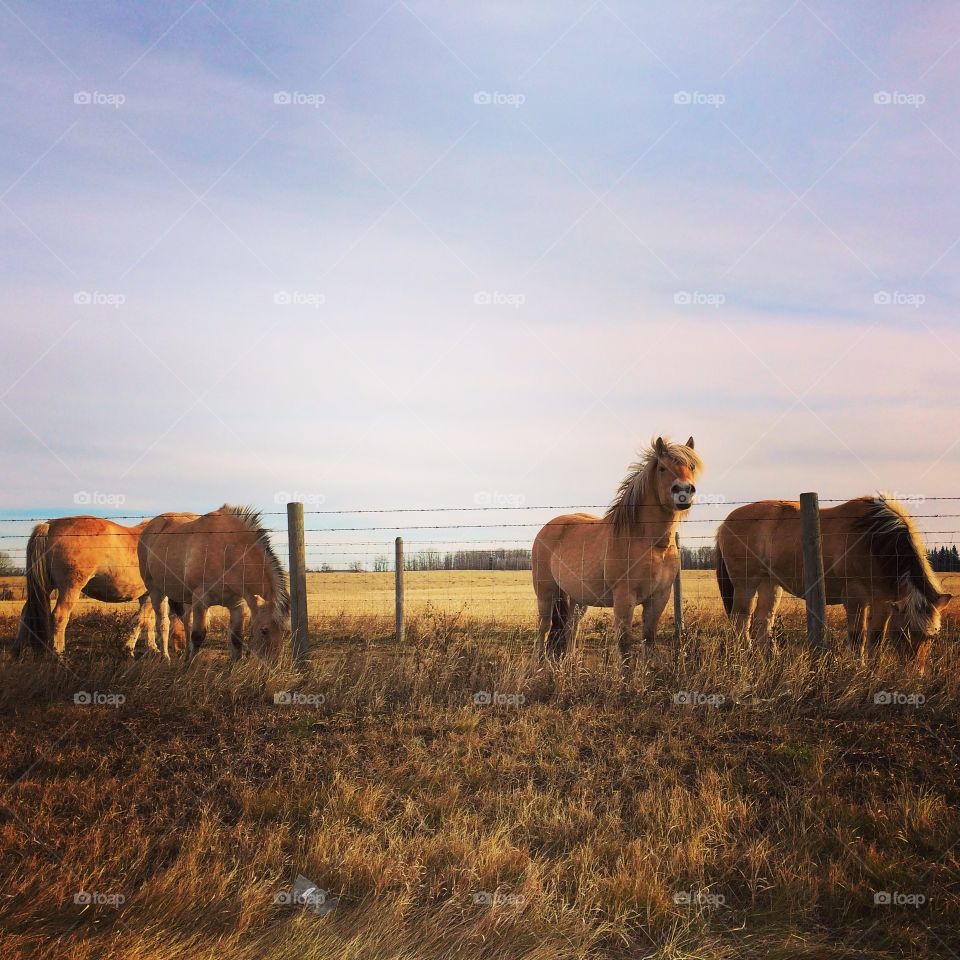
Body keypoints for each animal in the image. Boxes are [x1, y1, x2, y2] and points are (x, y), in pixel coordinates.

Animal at [13, 516, 186, 660]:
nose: (182, 650)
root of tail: (49, 526)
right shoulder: (152, 594)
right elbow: (142, 620)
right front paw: (129, 649)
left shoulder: (145, 596)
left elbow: (148, 621)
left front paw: (152, 647)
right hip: (70, 589)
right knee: (59, 616)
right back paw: (59, 655)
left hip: (45, 586)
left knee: (26, 614)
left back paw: (18, 652)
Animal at [137, 506, 290, 664]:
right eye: (264, 630)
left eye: (286, 632)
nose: (273, 664)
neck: (226, 552)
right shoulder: (200, 600)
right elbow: (198, 636)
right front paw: (190, 666)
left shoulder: (237, 605)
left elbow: (236, 638)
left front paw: (235, 665)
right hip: (156, 590)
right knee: (163, 623)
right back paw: (165, 657)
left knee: (186, 622)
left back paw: (185, 654)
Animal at [528, 436, 700, 668]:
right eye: (662, 468)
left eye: (692, 466)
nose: (683, 491)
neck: (653, 544)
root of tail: (547, 528)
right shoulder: (624, 599)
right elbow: (625, 644)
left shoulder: (659, 598)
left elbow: (649, 639)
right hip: (546, 593)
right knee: (543, 628)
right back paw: (537, 666)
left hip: (577, 597)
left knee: (571, 626)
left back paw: (571, 664)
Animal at [716, 496, 948, 668]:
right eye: (903, 634)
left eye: (930, 637)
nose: (914, 672)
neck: (873, 539)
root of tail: (726, 522)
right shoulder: (855, 597)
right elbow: (858, 636)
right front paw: (859, 667)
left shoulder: (884, 601)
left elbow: (876, 636)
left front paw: (873, 668)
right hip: (745, 584)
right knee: (741, 620)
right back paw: (745, 655)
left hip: (770, 584)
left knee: (763, 620)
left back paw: (769, 659)